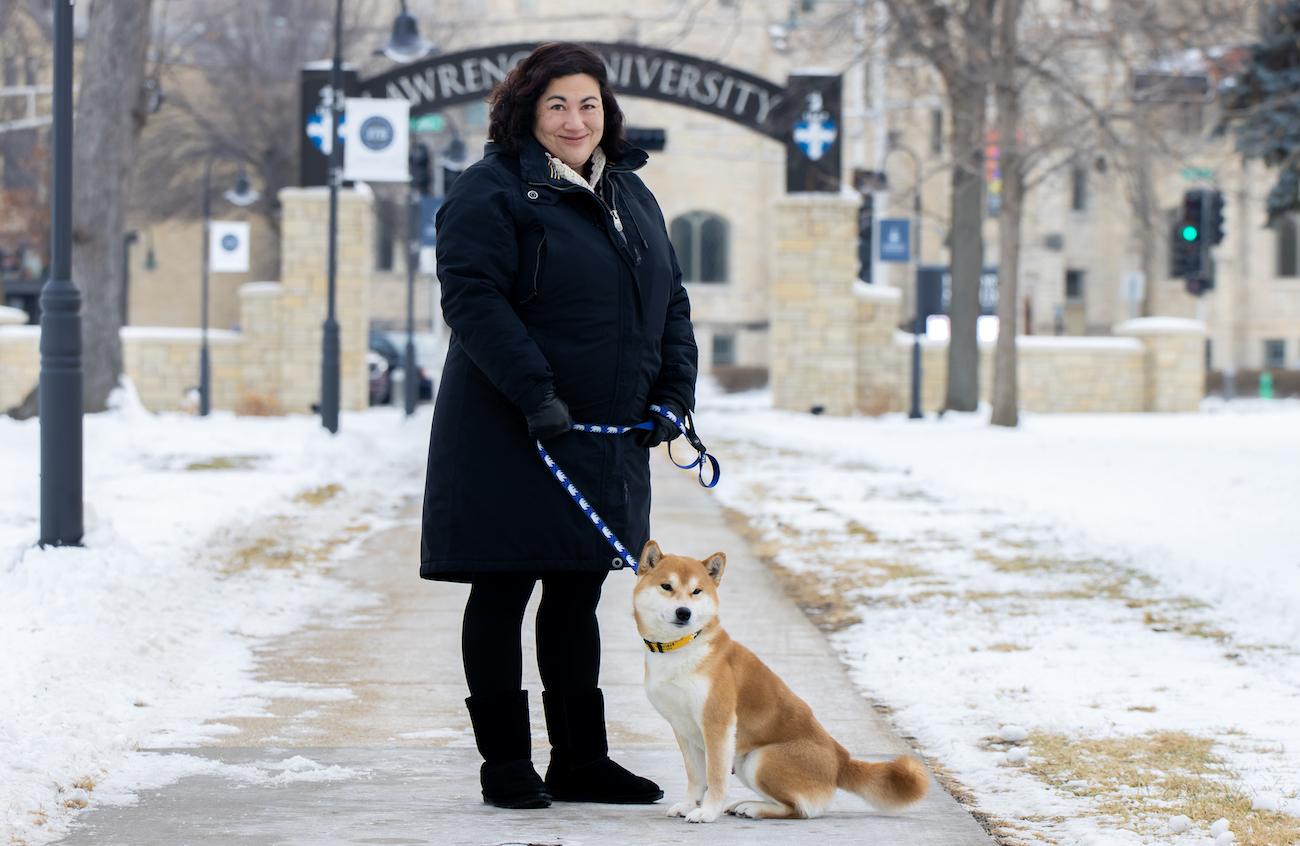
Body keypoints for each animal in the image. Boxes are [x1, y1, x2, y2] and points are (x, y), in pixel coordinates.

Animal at [634, 540, 930, 826]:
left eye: (696, 591)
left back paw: (754, 809)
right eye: (667, 586)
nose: (684, 613)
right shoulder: (682, 728)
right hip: (744, 760)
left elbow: (715, 778)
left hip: (760, 759)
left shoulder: (717, 725)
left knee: (800, 810)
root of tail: (840, 761)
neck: (682, 647)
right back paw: (745, 805)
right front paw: (688, 805)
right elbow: (696, 777)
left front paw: (707, 812)